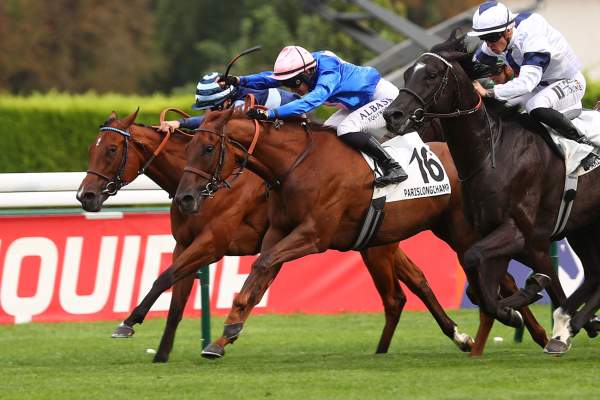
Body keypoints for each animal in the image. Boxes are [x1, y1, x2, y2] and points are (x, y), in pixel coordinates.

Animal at [77, 109, 480, 362]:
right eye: (92, 150)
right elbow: (175, 298)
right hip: (378, 241)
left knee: (405, 291)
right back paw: (447, 338)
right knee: (410, 287)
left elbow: (166, 277)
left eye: (110, 150)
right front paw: (163, 353)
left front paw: (128, 324)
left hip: (399, 241)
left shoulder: (214, 243)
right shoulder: (186, 244)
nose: (85, 196)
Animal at [171, 108, 548, 358]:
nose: (185, 198)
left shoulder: (313, 236)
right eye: (186, 148)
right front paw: (222, 338)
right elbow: (261, 274)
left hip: (462, 233)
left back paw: (524, 330)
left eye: (207, 148)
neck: (296, 165)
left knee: (500, 278)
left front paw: (229, 330)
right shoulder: (278, 233)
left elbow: (262, 265)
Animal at [382, 33, 600, 354]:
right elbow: (478, 285)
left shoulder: (523, 234)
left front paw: (529, 299)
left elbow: (480, 263)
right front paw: (514, 311)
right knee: (595, 272)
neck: (491, 152)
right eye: (408, 74)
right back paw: (569, 326)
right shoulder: (492, 232)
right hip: (584, 229)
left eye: (431, 75)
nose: (392, 115)